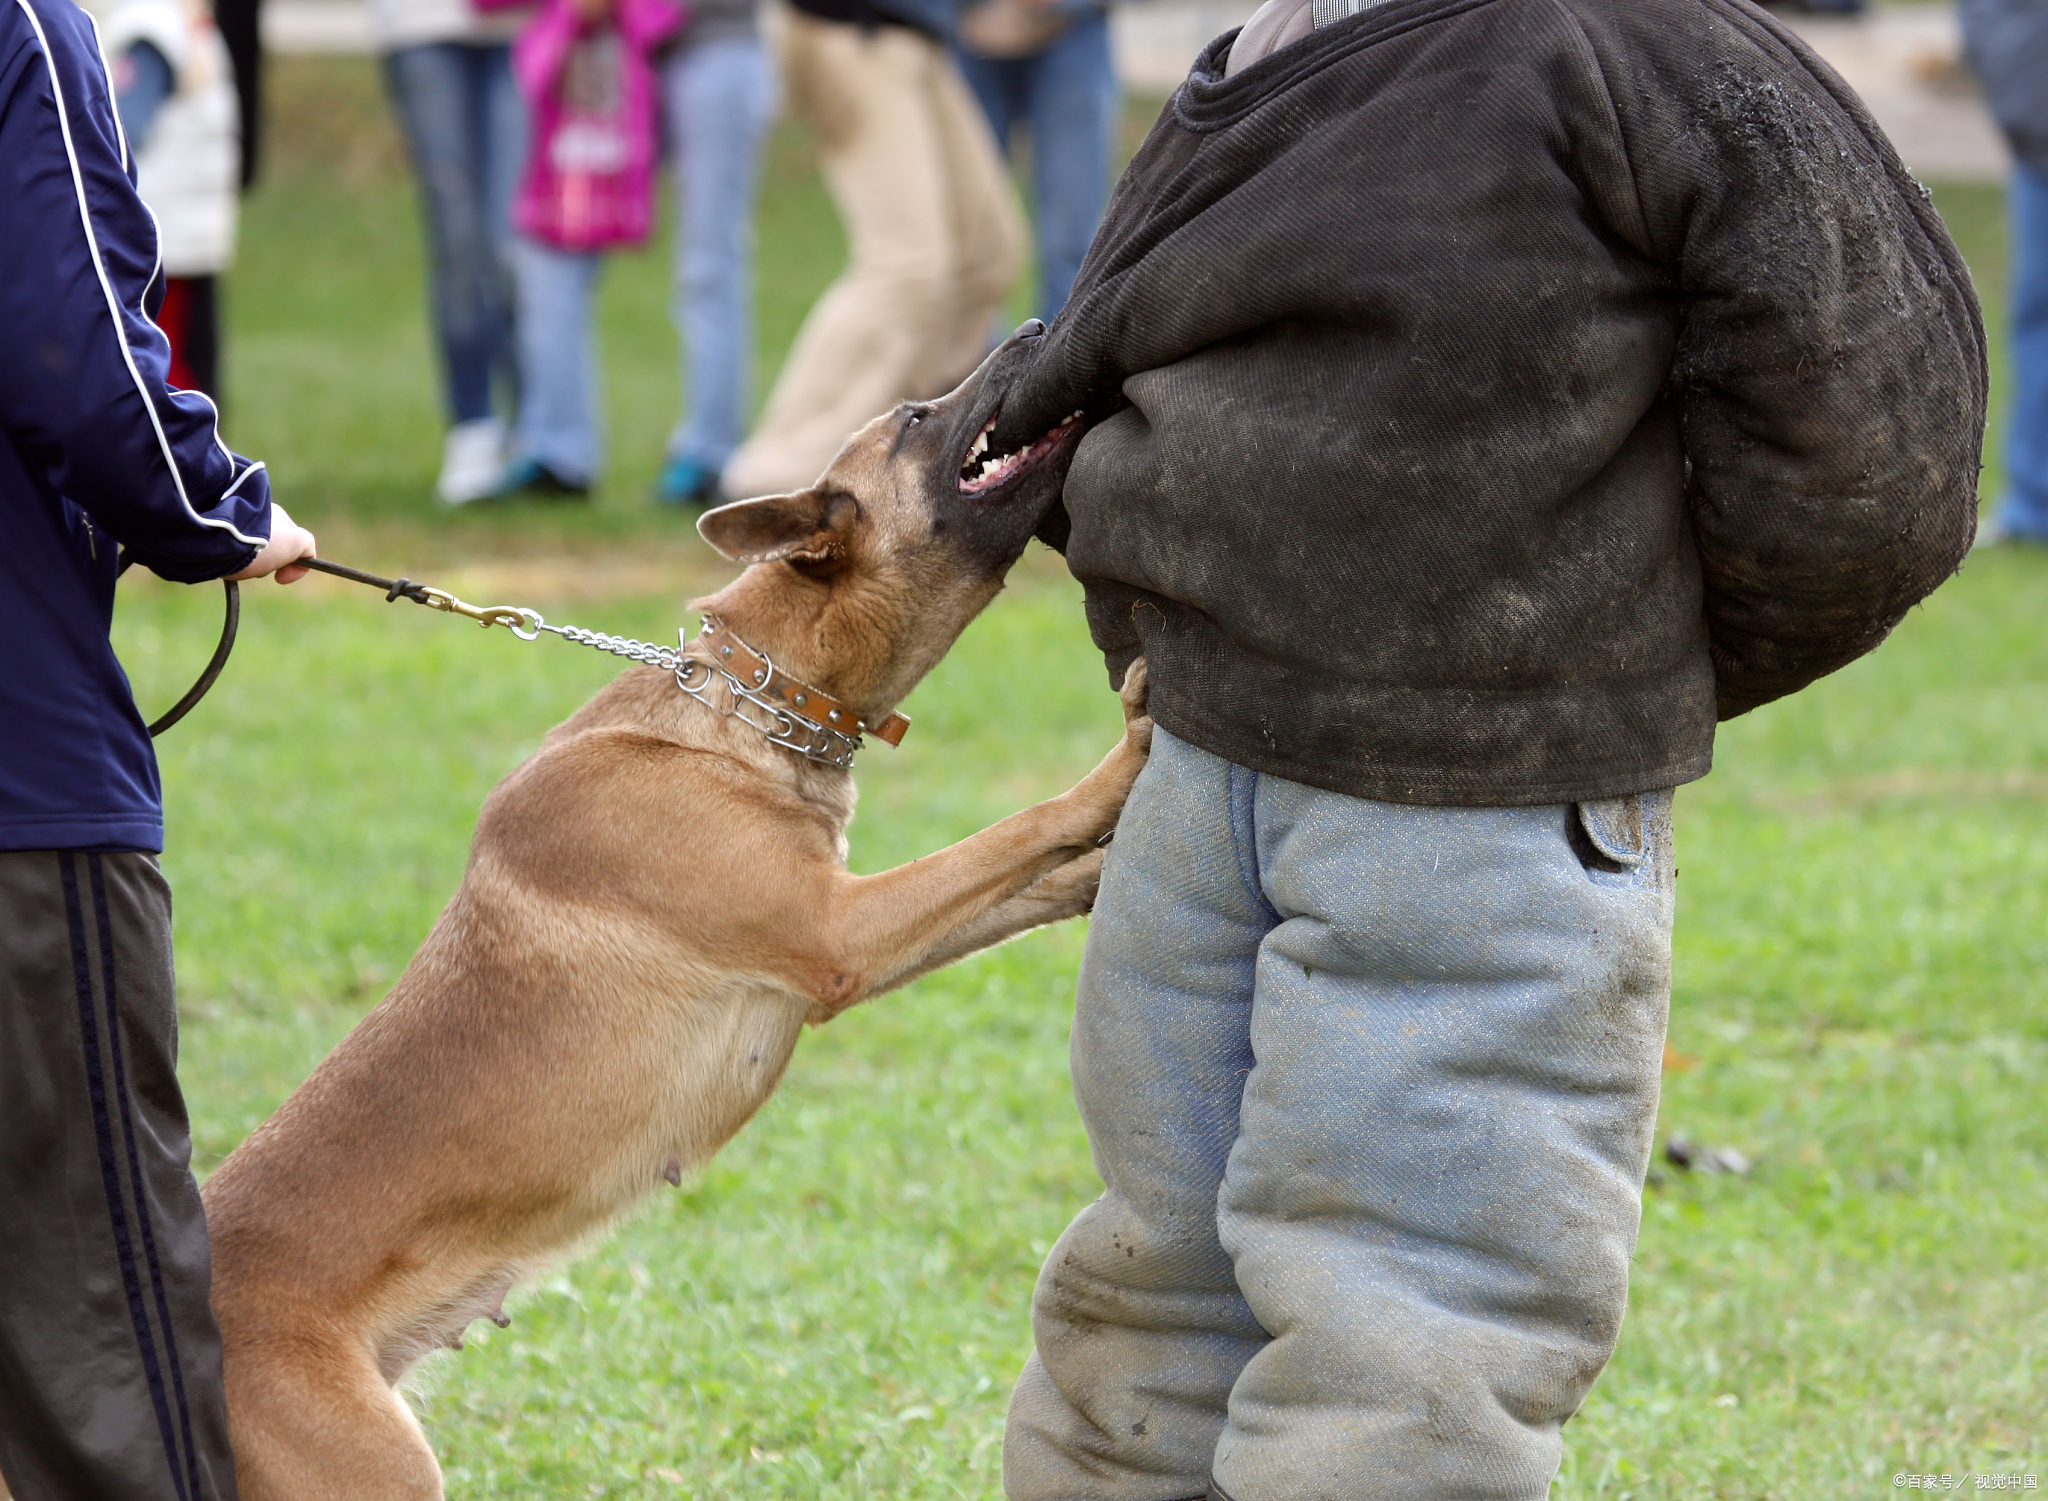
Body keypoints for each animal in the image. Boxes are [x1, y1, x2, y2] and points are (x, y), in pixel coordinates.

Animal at [197, 327, 1146, 1498]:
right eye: (917, 417)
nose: (1033, 331)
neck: (747, 703)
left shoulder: (850, 934)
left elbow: (1030, 878)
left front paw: (1100, 867)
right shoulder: (839, 934)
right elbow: (1021, 826)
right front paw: (1123, 760)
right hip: (372, 1468)